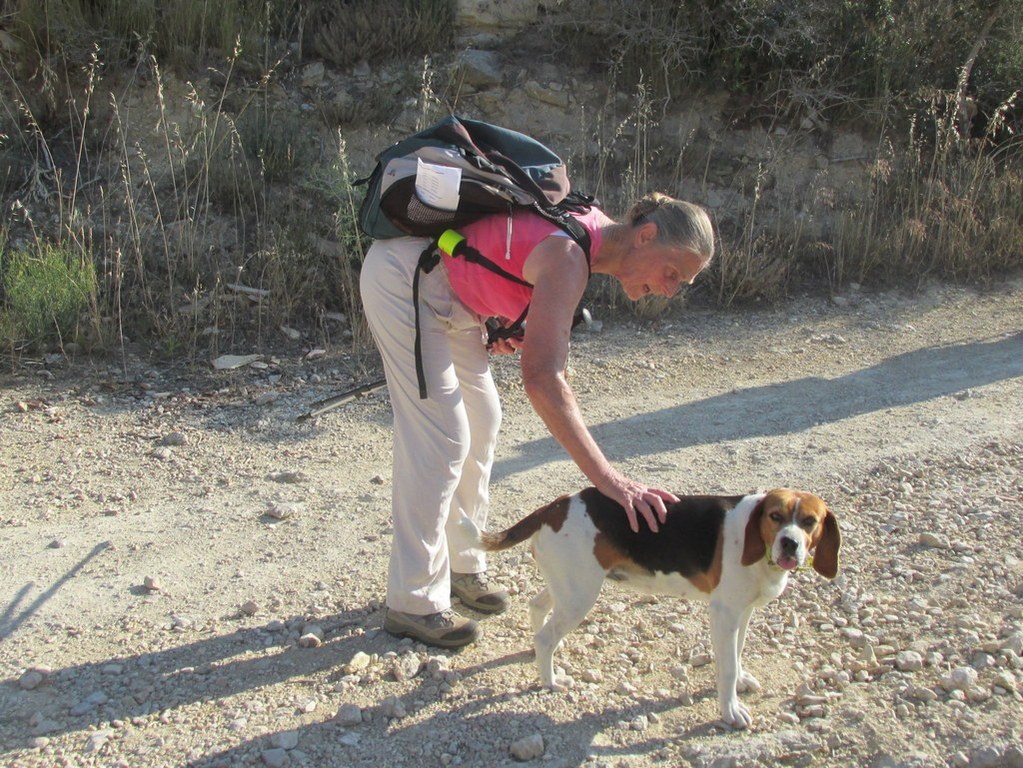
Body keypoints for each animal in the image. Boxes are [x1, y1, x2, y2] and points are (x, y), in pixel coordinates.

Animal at [462, 488, 838, 728]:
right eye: (775, 516)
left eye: (810, 521)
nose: (789, 543)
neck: (756, 541)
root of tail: (556, 506)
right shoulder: (724, 613)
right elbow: (727, 667)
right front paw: (730, 710)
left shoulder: (742, 612)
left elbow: (738, 653)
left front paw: (741, 680)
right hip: (580, 594)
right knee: (544, 638)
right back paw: (551, 681)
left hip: (567, 587)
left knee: (537, 609)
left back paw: (540, 659)